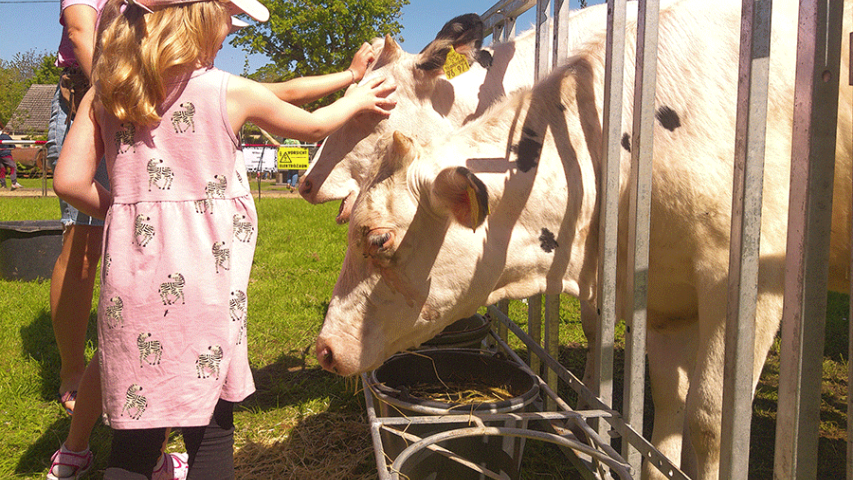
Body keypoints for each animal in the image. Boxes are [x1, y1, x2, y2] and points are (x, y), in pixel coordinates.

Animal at [316, 0, 852, 478]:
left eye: (379, 239)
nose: (325, 347)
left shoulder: (748, 287)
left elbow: (709, 419)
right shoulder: (662, 295)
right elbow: (668, 404)